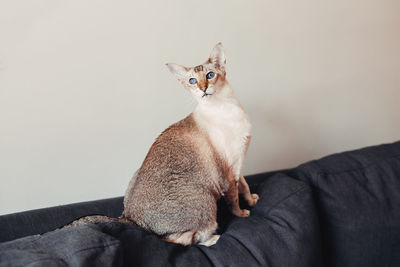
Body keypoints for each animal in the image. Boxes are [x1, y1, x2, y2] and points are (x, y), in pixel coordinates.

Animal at [69, 43, 258, 247]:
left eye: (209, 75)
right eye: (192, 81)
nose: (203, 88)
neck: (226, 106)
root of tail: (129, 217)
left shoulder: (237, 164)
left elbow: (244, 186)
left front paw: (251, 200)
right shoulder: (229, 171)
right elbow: (234, 199)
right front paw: (243, 213)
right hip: (206, 201)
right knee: (180, 240)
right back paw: (213, 239)